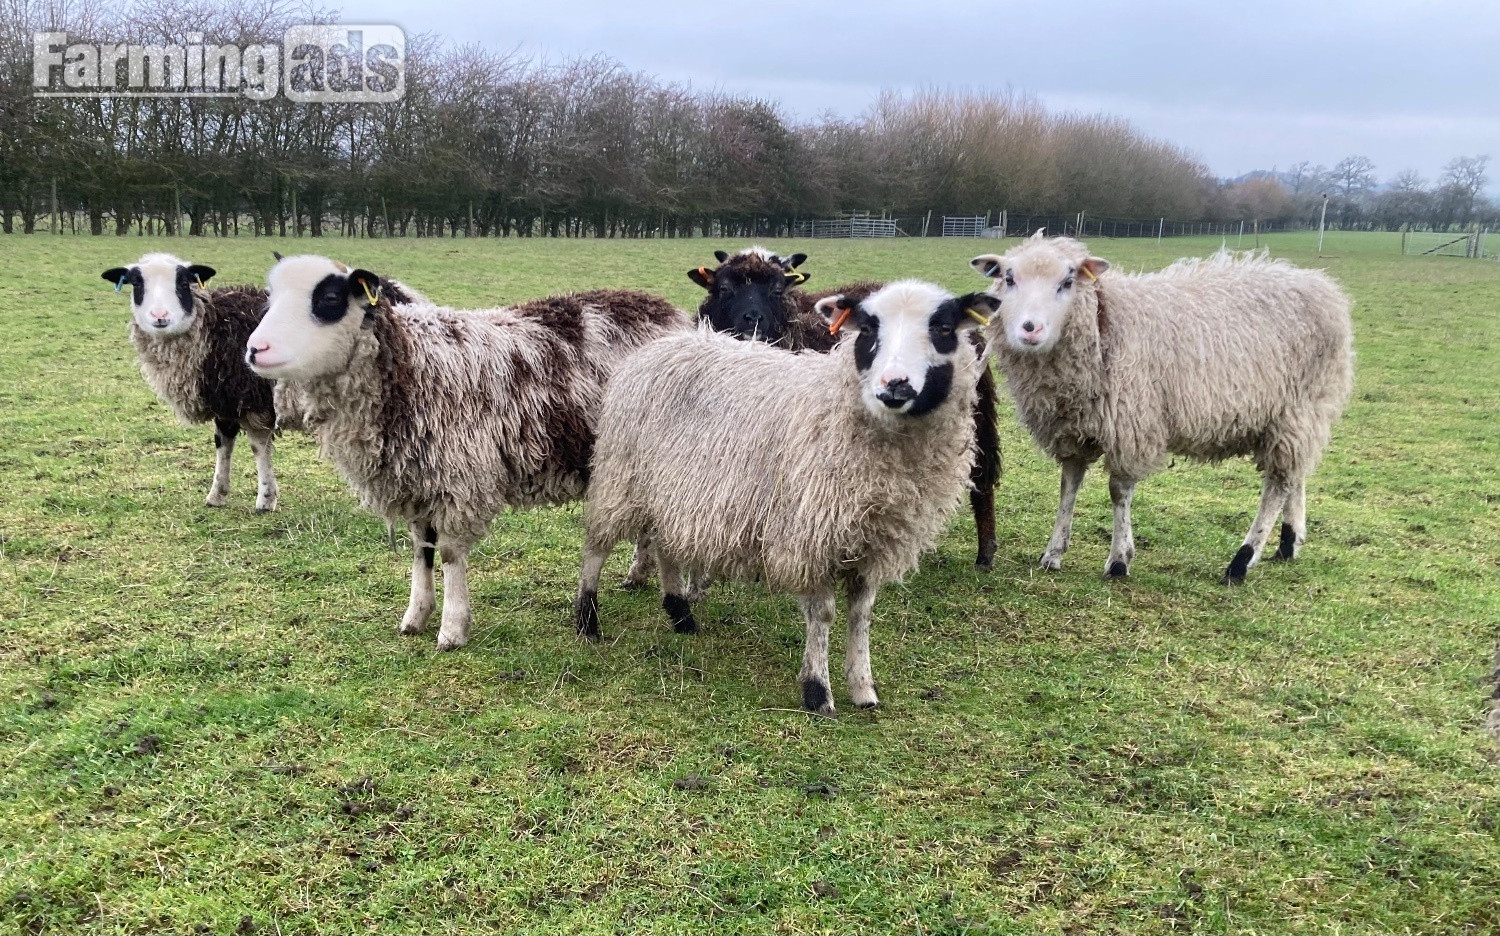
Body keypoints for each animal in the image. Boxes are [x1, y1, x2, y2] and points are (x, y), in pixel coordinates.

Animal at [247, 255, 690, 650]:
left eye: (329, 298)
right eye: (271, 297)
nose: (254, 349)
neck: (409, 366)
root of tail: (665, 309)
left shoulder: (458, 480)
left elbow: (448, 554)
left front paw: (452, 629)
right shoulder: (418, 480)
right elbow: (421, 550)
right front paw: (415, 616)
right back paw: (638, 574)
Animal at [573, 281, 1002, 715]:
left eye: (944, 328)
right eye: (867, 329)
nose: (894, 384)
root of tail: (661, 344)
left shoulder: (873, 543)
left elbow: (861, 615)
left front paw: (863, 688)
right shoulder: (809, 536)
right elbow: (823, 614)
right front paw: (817, 690)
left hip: (669, 491)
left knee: (664, 546)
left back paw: (680, 614)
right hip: (622, 476)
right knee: (597, 546)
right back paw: (587, 619)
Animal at [689, 246, 1005, 570]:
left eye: (777, 290)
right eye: (724, 288)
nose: (752, 321)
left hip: (975, 417)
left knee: (982, 479)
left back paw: (984, 555)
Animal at [970, 233, 1353, 584]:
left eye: (1067, 282)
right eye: (1009, 278)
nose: (1030, 329)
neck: (1105, 325)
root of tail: (1323, 287)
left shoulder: (1131, 425)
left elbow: (1118, 492)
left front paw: (1119, 559)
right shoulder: (1073, 428)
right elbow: (1069, 485)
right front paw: (1053, 553)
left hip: (1296, 409)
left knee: (1277, 485)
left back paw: (1242, 560)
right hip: (1299, 416)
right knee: (1295, 474)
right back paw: (1289, 543)